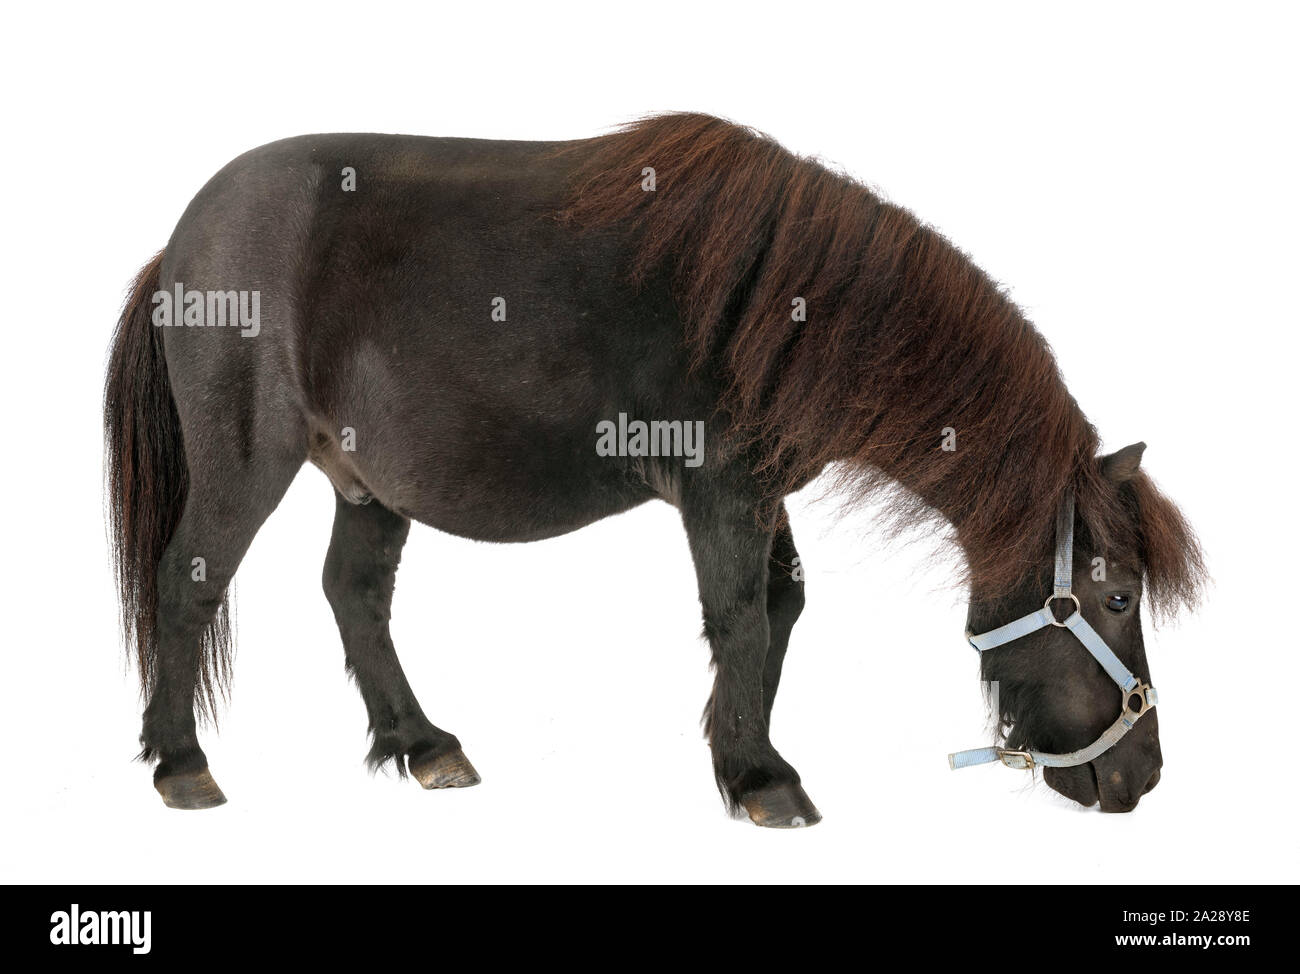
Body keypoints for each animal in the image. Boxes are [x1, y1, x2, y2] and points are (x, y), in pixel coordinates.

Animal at [106, 115, 1201, 827]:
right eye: (1113, 594)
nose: (1140, 777)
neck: (790, 302)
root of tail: (179, 244)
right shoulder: (723, 490)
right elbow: (743, 616)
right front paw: (760, 778)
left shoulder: (761, 494)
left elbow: (779, 609)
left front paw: (738, 753)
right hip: (246, 460)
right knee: (188, 584)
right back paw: (182, 763)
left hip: (368, 484)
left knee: (355, 595)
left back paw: (423, 745)